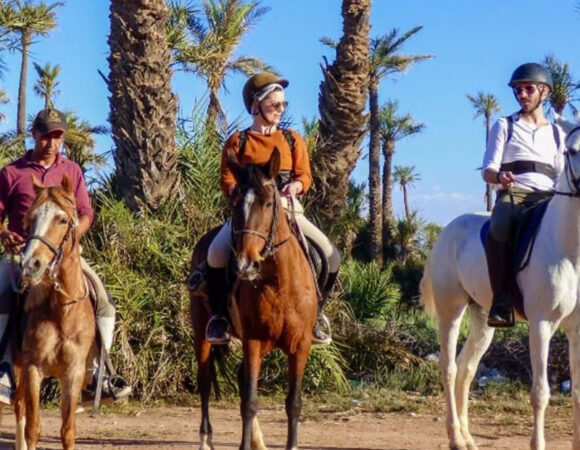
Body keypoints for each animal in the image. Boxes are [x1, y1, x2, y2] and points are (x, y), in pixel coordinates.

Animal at [12, 174, 95, 448]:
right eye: (31, 219)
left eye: (63, 219)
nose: (30, 264)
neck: (61, 312)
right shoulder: (33, 368)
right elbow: (33, 428)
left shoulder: (73, 373)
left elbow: (67, 431)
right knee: (19, 406)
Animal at [189, 149, 318, 450]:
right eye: (235, 205)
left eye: (270, 203)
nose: (245, 265)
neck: (280, 283)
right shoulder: (254, 340)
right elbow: (249, 401)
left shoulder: (300, 345)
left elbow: (293, 403)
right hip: (202, 332)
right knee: (204, 382)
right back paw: (205, 440)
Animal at [420, 113, 580, 450]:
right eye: (571, 151)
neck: (570, 250)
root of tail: (447, 231)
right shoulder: (541, 325)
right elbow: (540, 393)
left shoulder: (577, 329)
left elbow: (577, 393)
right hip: (450, 311)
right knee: (449, 368)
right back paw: (455, 437)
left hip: (483, 319)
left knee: (466, 369)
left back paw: (467, 437)